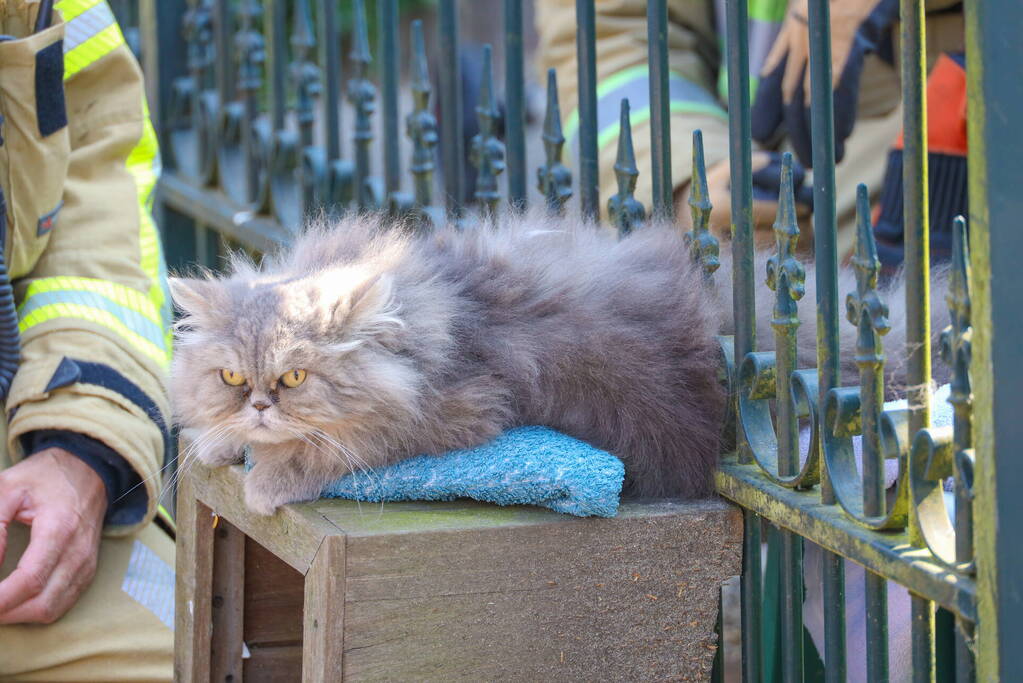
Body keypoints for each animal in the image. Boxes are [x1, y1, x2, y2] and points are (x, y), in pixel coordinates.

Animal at [171, 211, 945, 511]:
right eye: (232, 377)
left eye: (295, 376)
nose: (259, 404)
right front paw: (220, 440)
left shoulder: (458, 408)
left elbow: (333, 445)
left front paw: (267, 478)